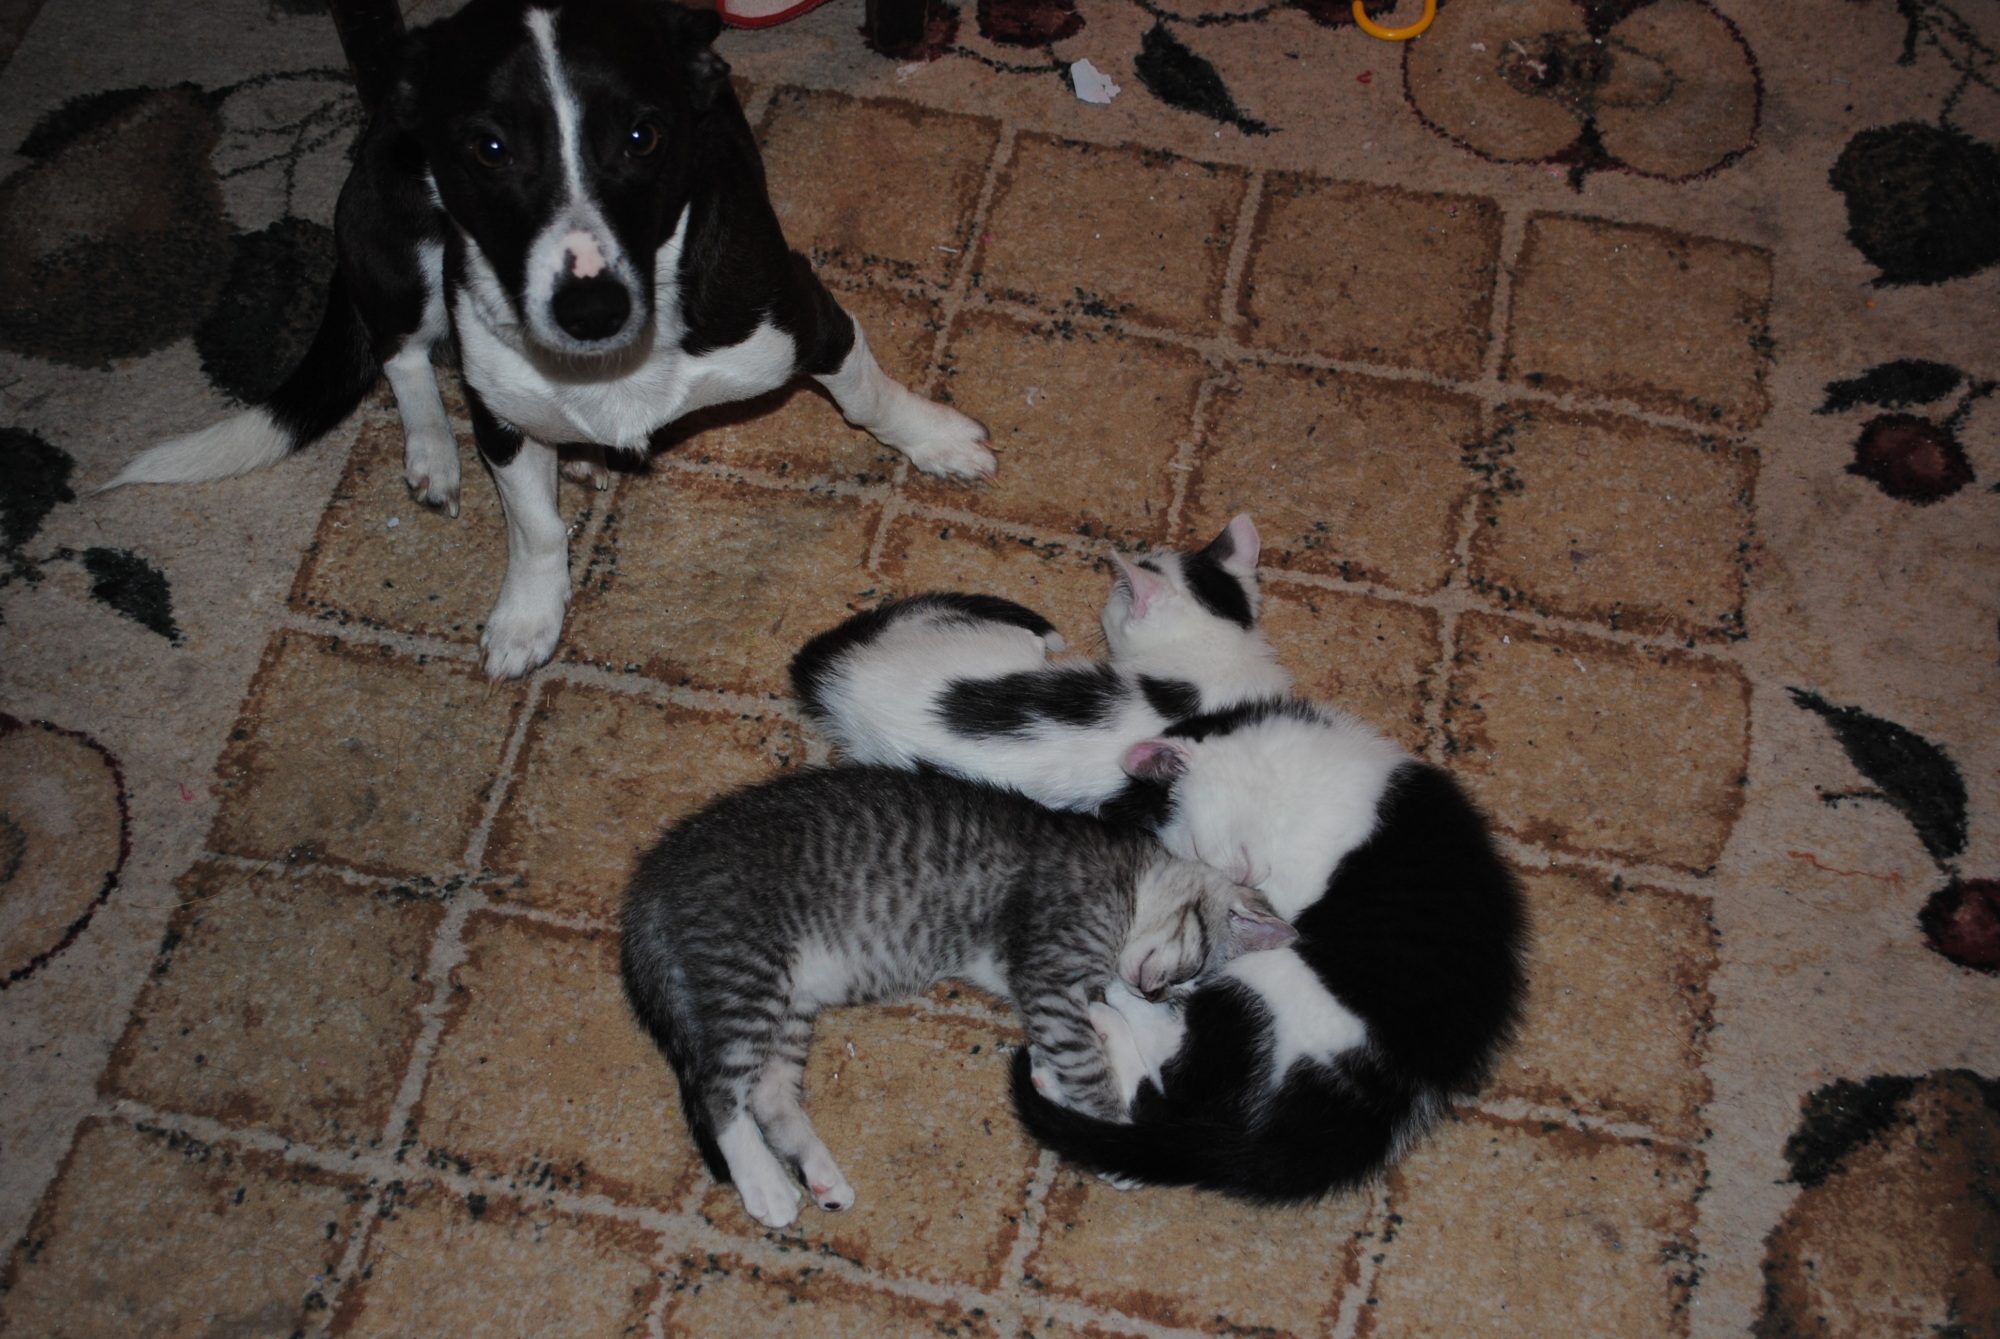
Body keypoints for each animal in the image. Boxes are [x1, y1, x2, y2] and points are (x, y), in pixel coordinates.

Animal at [107, 0, 993, 678]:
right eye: (489, 146)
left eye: (642, 136)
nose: (590, 308)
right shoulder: (500, 409)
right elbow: (533, 526)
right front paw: (528, 615)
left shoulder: (800, 313)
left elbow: (870, 395)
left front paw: (939, 439)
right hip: (397, 236)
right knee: (401, 351)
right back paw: (435, 453)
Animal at [618, 764, 1294, 1228]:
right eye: (1191, 966)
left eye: (1179, 993)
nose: (1151, 990)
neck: (1129, 871)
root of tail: (656, 874)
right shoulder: (1049, 973)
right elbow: (1085, 1056)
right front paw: (1110, 1136)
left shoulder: (1049, 986)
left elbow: (1100, 1027)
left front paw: (1062, 1082)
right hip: (747, 972)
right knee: (716, 1090)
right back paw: (766, 1184)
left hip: (788, 1001)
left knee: (768, 1090)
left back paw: (819, 1174)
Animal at [1013, 697, 1529, 1203]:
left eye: (1194, 847)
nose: (1238, 880)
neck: (1289, 780)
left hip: (1279, 981)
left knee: (1173, 1084)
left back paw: (1107, 1013)